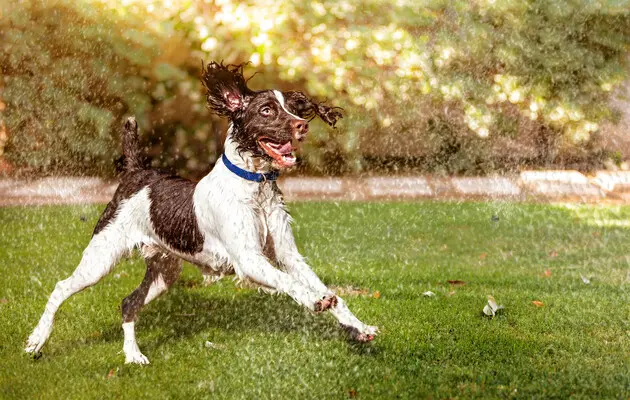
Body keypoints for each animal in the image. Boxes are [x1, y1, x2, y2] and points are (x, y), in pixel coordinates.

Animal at [24, 61, 378, 364]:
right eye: (267, 110)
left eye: (294, 107)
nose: (302, 125)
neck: (255, 186)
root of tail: (137, 172)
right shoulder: (249, 260)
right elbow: (290, 283)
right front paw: (315, 301)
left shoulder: (288, 255)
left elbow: (324, 289)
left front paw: (358, 327)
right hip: (101, 256)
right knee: (61, 288)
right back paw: (37, 341)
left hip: (164, 270)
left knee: (129, 302)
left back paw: (133, 355)